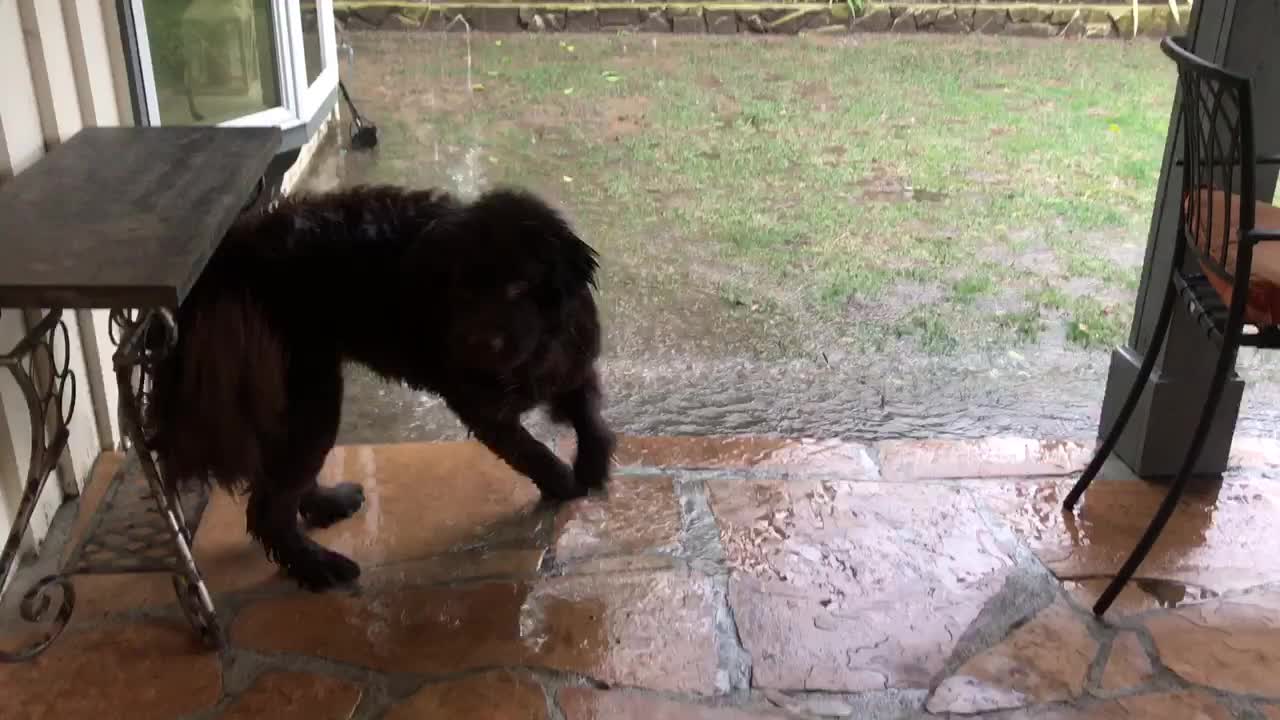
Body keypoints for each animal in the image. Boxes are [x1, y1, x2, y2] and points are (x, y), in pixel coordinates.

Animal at [149, 183, 614, 589]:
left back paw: (326, 505)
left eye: (518, 286)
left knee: (279, 480)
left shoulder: (572, 362)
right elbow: (531, 451)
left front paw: (592, 464)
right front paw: (564, 483)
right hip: (310, 392)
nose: (474, 344)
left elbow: (589, 414)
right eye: (462, 290)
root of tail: (239, 244)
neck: (537, 349)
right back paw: (318, 566)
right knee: (269, 505)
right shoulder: (482, 408)